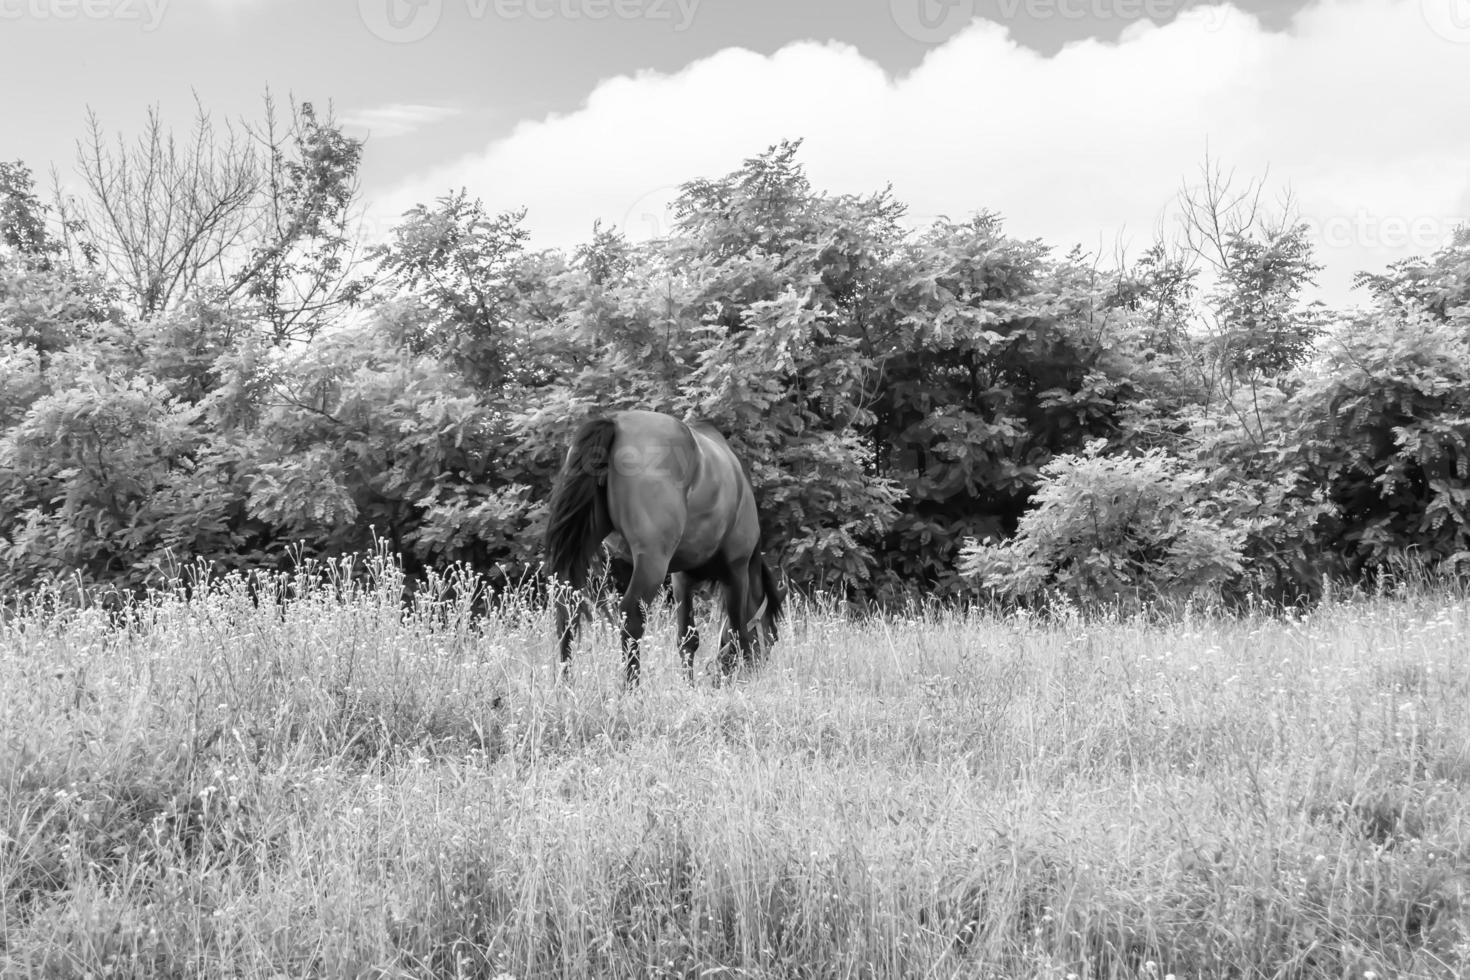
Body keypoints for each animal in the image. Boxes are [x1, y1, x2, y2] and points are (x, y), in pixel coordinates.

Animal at [546, 411, 787, 687]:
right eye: (772, 637)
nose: (757, 671)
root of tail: (615, 422)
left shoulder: (681, 579)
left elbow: (687, 640)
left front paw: (688, 687)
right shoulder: (737, 571)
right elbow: (739, 635)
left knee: (567, 610)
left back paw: (565, 683)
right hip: (651, 563)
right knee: (631, 616)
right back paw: (631, 688)